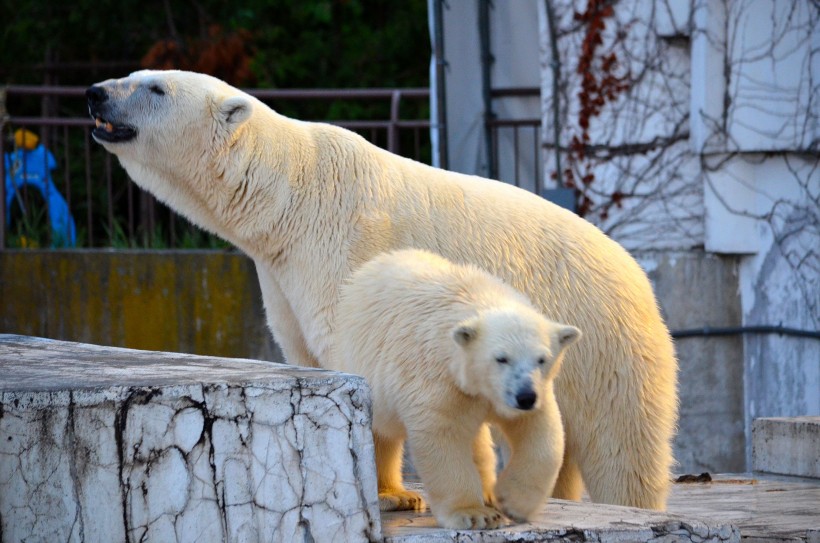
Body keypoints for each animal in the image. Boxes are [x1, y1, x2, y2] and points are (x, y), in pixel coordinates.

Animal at [89, 70, 680, 512]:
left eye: (155, 88)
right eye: (133, 74)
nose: (95, 92)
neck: (290, 196)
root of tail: (635, 270)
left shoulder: (349, 244)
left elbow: (362, 352)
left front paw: (389, 491)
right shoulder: (279, 275)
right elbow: (310, 351)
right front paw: (395, 490)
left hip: (607, 344)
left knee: (623, 449)